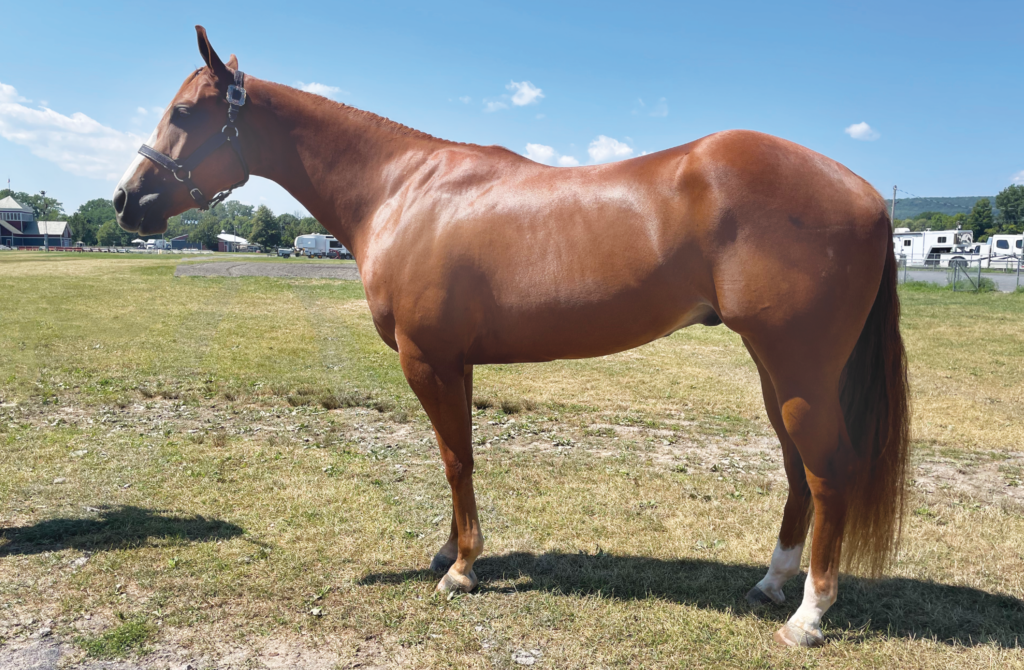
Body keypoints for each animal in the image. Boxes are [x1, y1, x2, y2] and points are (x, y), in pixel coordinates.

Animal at [114, 26, 910, 648]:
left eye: (183, 111)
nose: (125, 201)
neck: (403, 190)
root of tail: (868, 194)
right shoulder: (455, 362)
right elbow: (457, 457)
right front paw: (449, 552)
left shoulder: (428, 360)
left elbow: (454, 458)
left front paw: (464, 569)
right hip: (778, 368)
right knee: (796, 469)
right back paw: (773, 584)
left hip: (799, 365)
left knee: (828, 470)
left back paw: (809, 615)